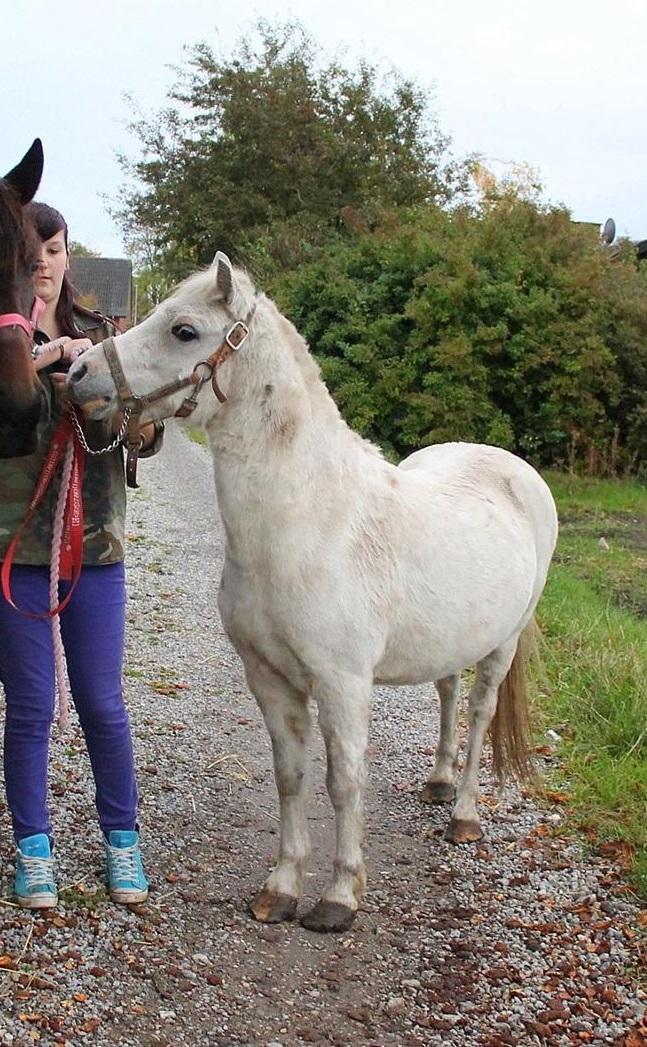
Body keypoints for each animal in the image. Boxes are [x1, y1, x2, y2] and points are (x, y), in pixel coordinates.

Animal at [69, 251, 552, 933]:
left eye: (184, 330)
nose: (78, 374)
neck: (310, 523)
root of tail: (511, 467)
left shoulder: (343, 682)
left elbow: (344, 782)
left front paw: (340, 896)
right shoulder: (269, 677)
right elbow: (291, 776)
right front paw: (281, 888)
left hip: (502, 644)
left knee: (480, 714)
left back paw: (463, 814)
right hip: (450, 641)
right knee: (448, 696)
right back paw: (437, 783)